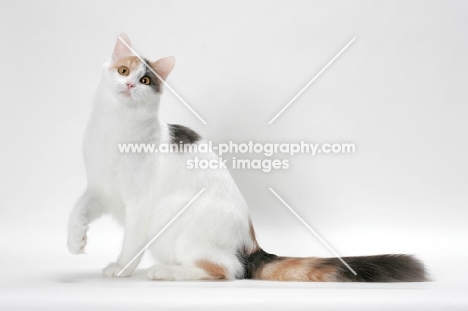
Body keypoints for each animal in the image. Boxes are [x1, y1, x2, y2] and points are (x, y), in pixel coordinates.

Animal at [66, 34, 428, 282]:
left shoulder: (139, 204)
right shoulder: (100, 189)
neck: (113, 128)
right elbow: (77, 209)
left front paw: (121, 269)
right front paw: (75, 241)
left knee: (226, 269)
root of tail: (252, 245)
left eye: (144, 80)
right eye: (123, 70)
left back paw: (166, 271)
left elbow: (131, 243)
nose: (129, 84)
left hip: (176, 218)